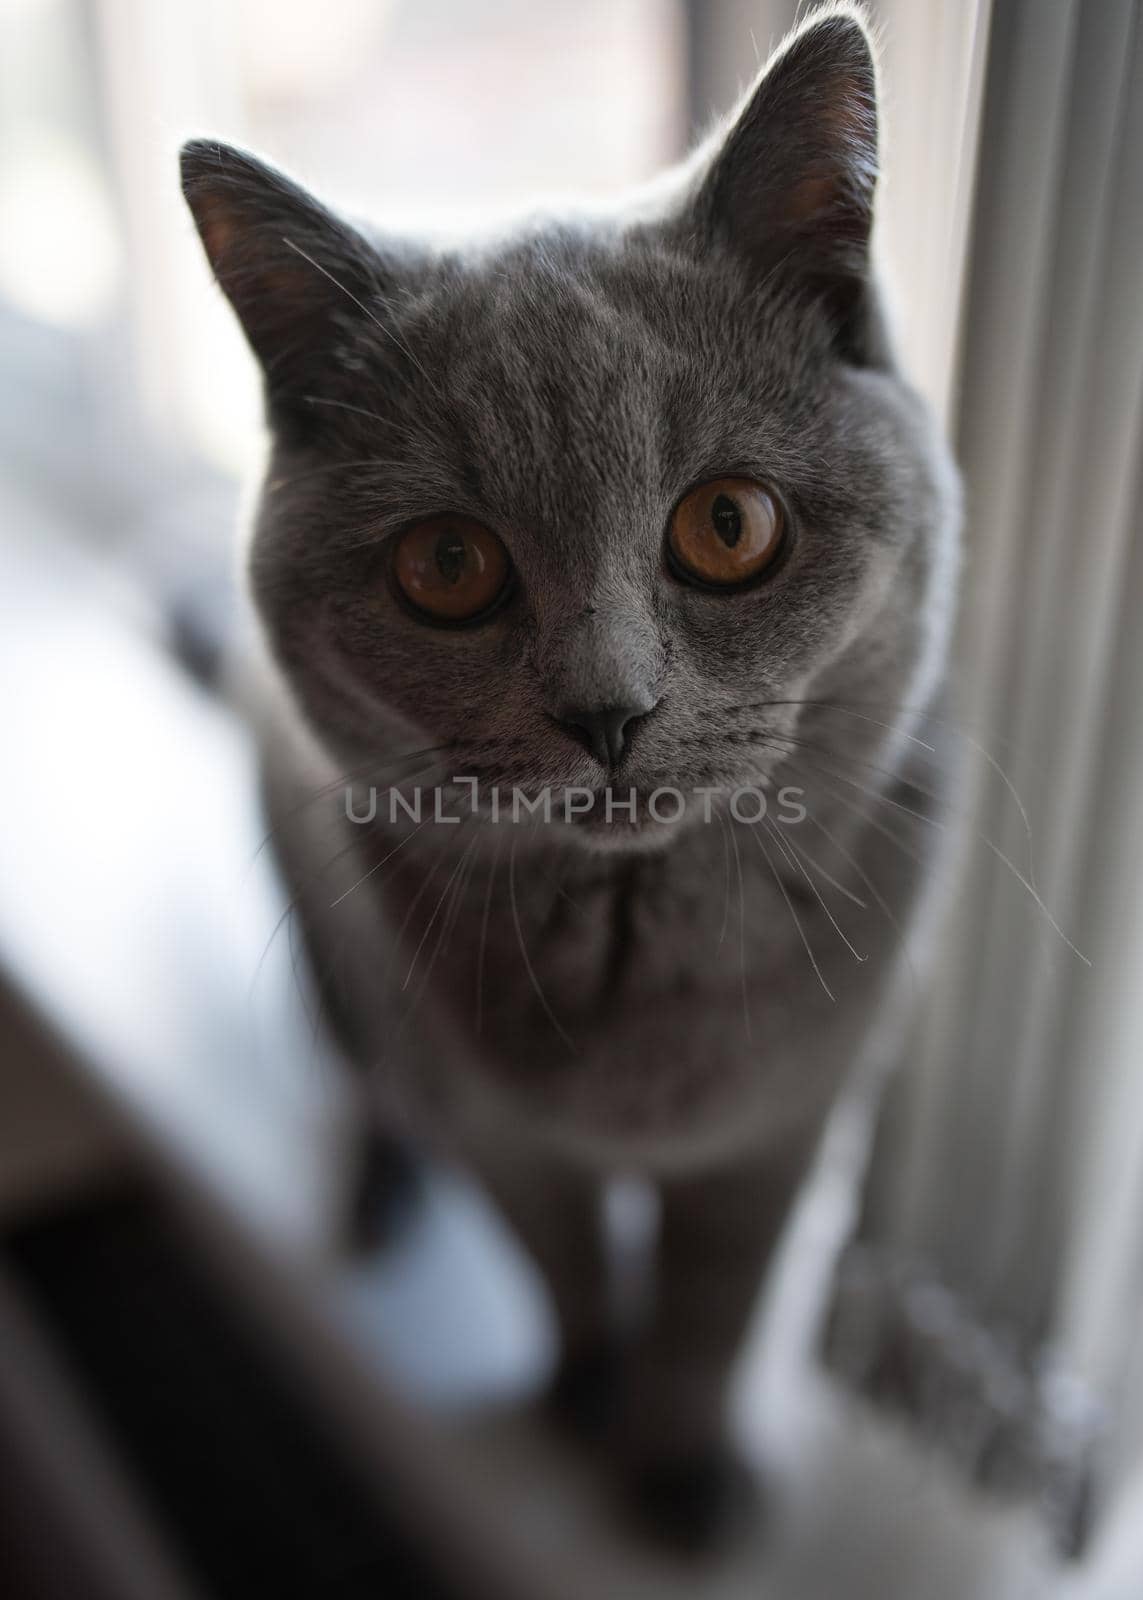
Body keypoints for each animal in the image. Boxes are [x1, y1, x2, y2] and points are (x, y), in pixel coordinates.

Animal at [182, 0, 954, 1548]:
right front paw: (583, 1390)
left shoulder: (781, 1131)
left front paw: (680, 1470)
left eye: (729, 525)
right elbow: (560, 1259)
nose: (608, 713)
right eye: (446, 565)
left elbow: (713, 1311)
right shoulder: (497, 1121)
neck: (631, 943)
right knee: (371, 1082)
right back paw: (377, 1197)